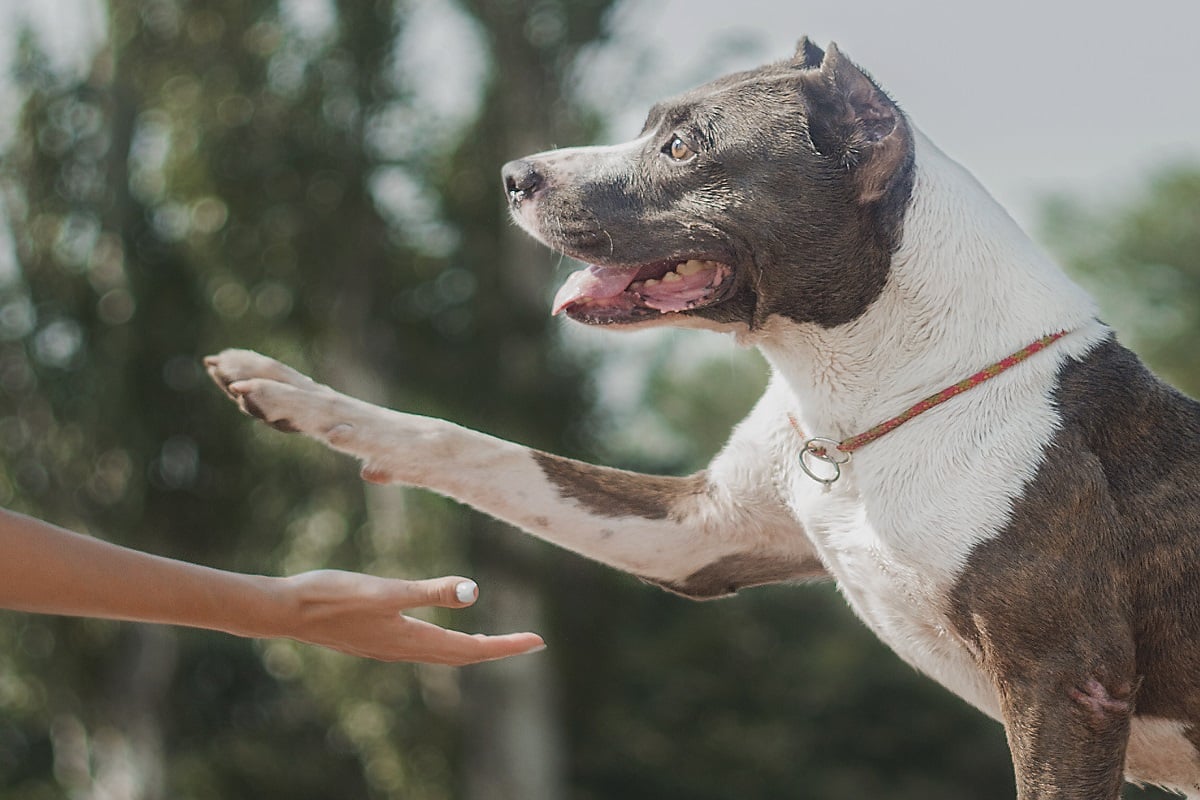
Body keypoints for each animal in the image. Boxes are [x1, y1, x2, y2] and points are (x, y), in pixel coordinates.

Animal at [206, 38, 1200, 800]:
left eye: (683, 147)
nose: (516, 174)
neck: (868, 395)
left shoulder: (1065, 685)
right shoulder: (699, 533)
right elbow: (470, 446)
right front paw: (289, 389)